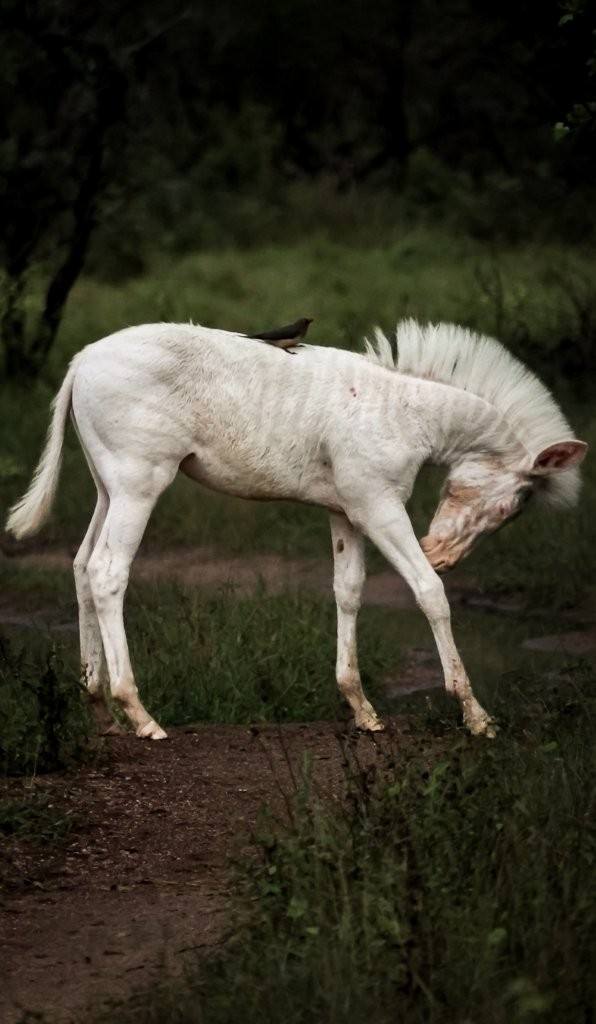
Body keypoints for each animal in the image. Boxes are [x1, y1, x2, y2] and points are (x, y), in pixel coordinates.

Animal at [6, 319, 587, 740]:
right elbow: (429, 593)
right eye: (511, 507)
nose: (440, 551)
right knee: (108, 573)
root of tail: (82, 359)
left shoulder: (346, 511)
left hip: (108, 486)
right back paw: (141, 716)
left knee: (82, 566)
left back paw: (99, 708)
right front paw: (475, 715)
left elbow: (348, 592)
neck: (405, 414)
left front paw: (362, 709)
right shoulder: (379, 506)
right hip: (139, 481)